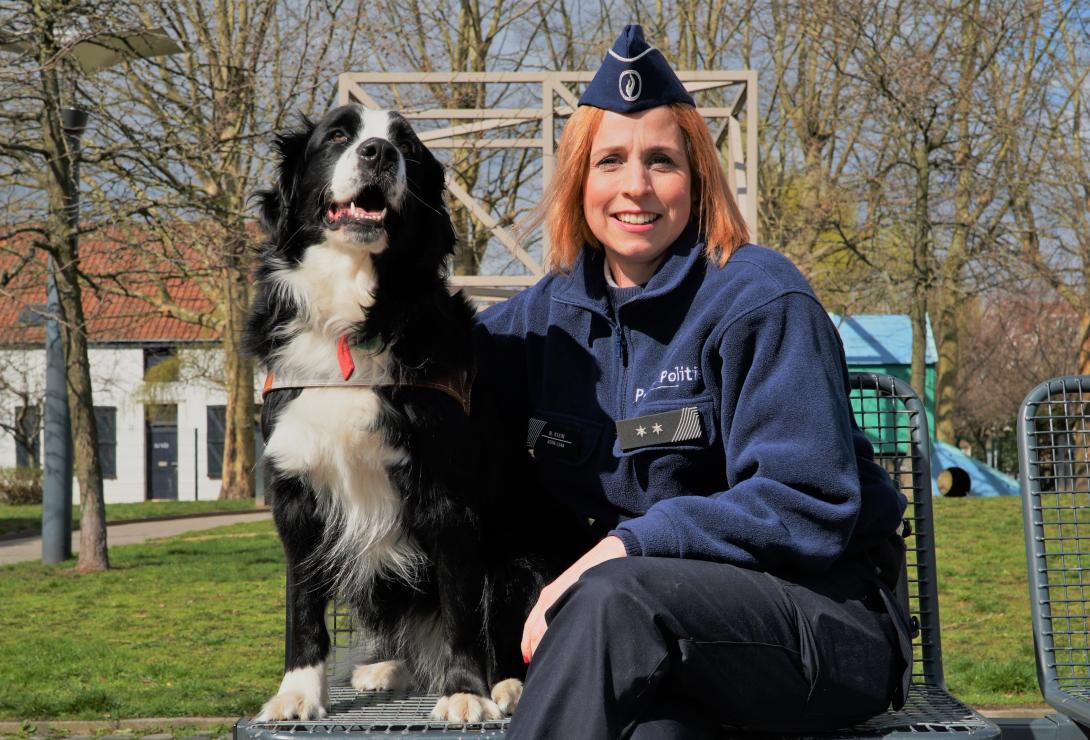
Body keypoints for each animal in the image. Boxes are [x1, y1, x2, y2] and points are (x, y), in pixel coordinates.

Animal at [246, 105, 592, 723]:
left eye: (406, 146)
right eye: (339, 134)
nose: (379, 153)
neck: (354, 313)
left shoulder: (444, 492)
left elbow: (462, 606)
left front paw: (465, 691)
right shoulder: (297, 494)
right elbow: (302, 607)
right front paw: (298, 693)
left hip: (525, 549)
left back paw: (505, 682)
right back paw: (386, 666)